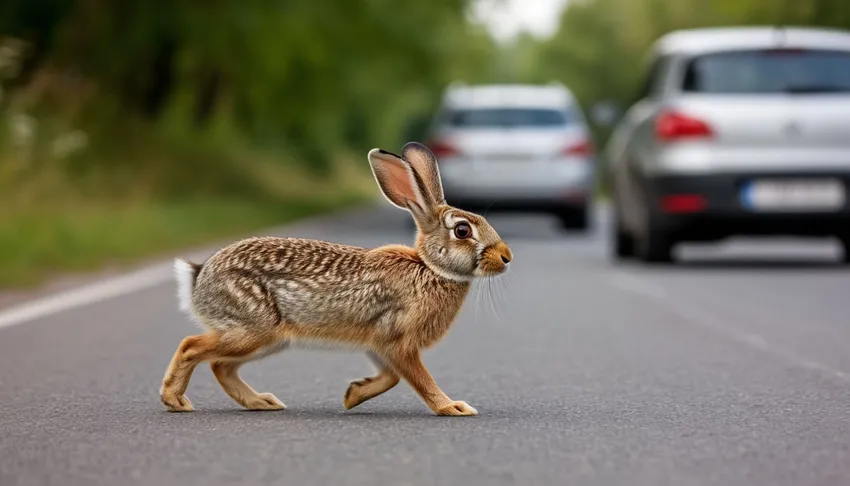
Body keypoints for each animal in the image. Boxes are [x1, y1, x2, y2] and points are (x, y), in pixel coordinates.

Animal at [159, 142, 513, 416]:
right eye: (463, 230)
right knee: (191, 347)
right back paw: (175, 400)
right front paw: (452, 407)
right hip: (252, 329)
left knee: (220, 365)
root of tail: (200, 277)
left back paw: (261, 402)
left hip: (266, 339)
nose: (506, 257)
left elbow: (391, 377)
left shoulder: (381, 343)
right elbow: (419, 379)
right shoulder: (397, 339)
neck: (430, 268)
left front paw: (353, 395)